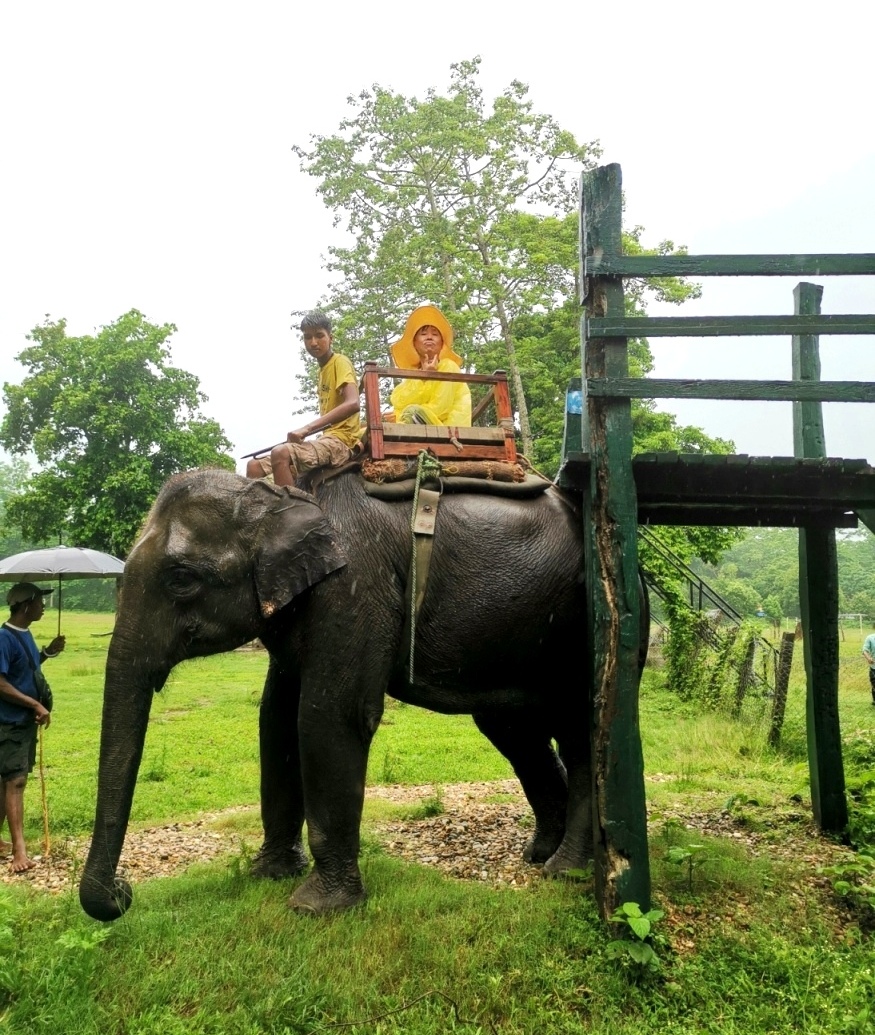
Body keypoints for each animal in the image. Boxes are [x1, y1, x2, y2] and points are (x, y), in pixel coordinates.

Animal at [80, 465, 642, 919]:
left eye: (181, 578)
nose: (123, 893)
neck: (283, 496)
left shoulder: (356, 585)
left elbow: (329, 717)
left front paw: (316, 908)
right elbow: (275, 721)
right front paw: (267, 875)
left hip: (583, 626)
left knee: (578, 731)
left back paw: (563, 870)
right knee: (514, 733)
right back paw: (538, 854)